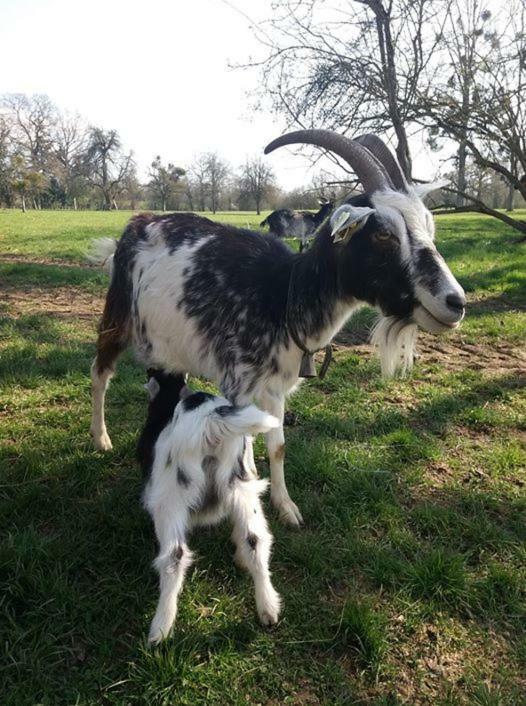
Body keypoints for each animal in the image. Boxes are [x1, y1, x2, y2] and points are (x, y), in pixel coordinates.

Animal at [89, 129, 466, 524]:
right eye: (383, 234)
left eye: (428, 227)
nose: (456, 302)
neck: (282, 294)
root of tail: (134, 225)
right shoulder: (237, 384)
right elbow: (242, 449)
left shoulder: (276, 387)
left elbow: (278, 445)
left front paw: (286, 507)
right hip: (118, 317)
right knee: (100, 372)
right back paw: (101, 439)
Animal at [138, 372, 282, 640]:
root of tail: (210, 423)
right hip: (242, 487)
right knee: (255, 540)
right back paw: (268, 609)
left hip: (171, 499)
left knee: (174, 556)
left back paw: (159, 631)